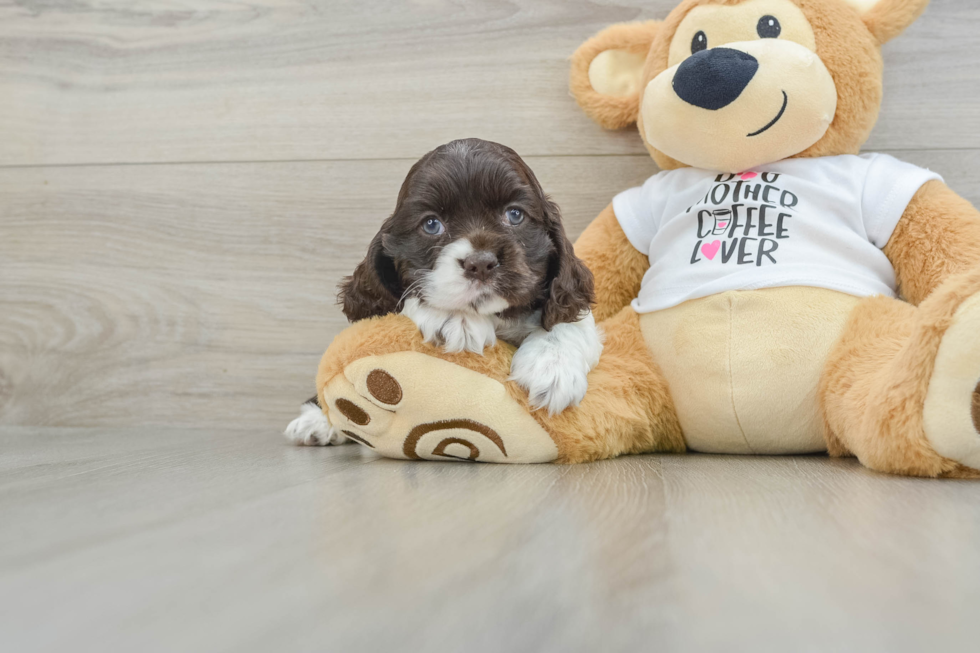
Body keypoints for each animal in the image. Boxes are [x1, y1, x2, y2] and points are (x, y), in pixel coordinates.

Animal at [286, 137, 604, 444]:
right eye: (431, 224)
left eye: (515, 215)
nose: (481, 263)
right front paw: (452, 316)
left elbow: (569, 320)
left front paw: (552, 367)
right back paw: (317, 421)